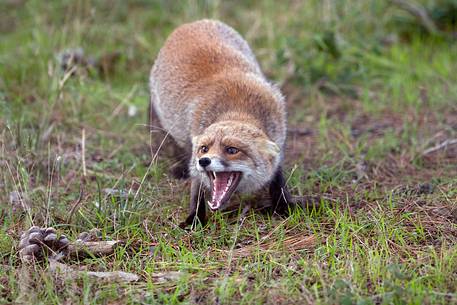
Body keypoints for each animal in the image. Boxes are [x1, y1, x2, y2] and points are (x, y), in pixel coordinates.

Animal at [148, 19, 294, 226]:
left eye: (232, 150)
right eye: (204, 149)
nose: (204, 161)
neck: (238, 108)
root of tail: (193, 23)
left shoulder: (279, 138)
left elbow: (278, 178)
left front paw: (283, 206)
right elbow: (197, 190)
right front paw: (195, 219)